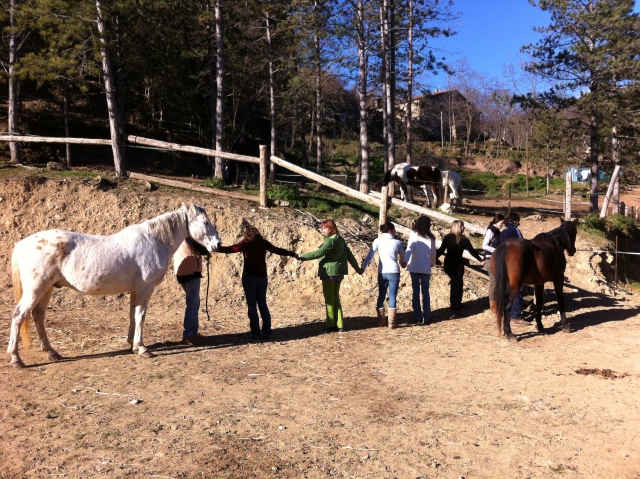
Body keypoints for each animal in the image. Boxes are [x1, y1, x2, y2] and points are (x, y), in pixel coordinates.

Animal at [8, 203, 221, 368]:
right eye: (205, 223)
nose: (218, 244)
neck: (154, 241)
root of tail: (22, 244)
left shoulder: (135, 290)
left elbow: (133, 315)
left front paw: (132, 345)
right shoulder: (144, 289)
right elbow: (140, 316)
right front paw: (142, 348)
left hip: (47, 289)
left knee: (38, 316)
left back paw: (52, 352)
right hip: (36, 289)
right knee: (19, 316)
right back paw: (16, 359)